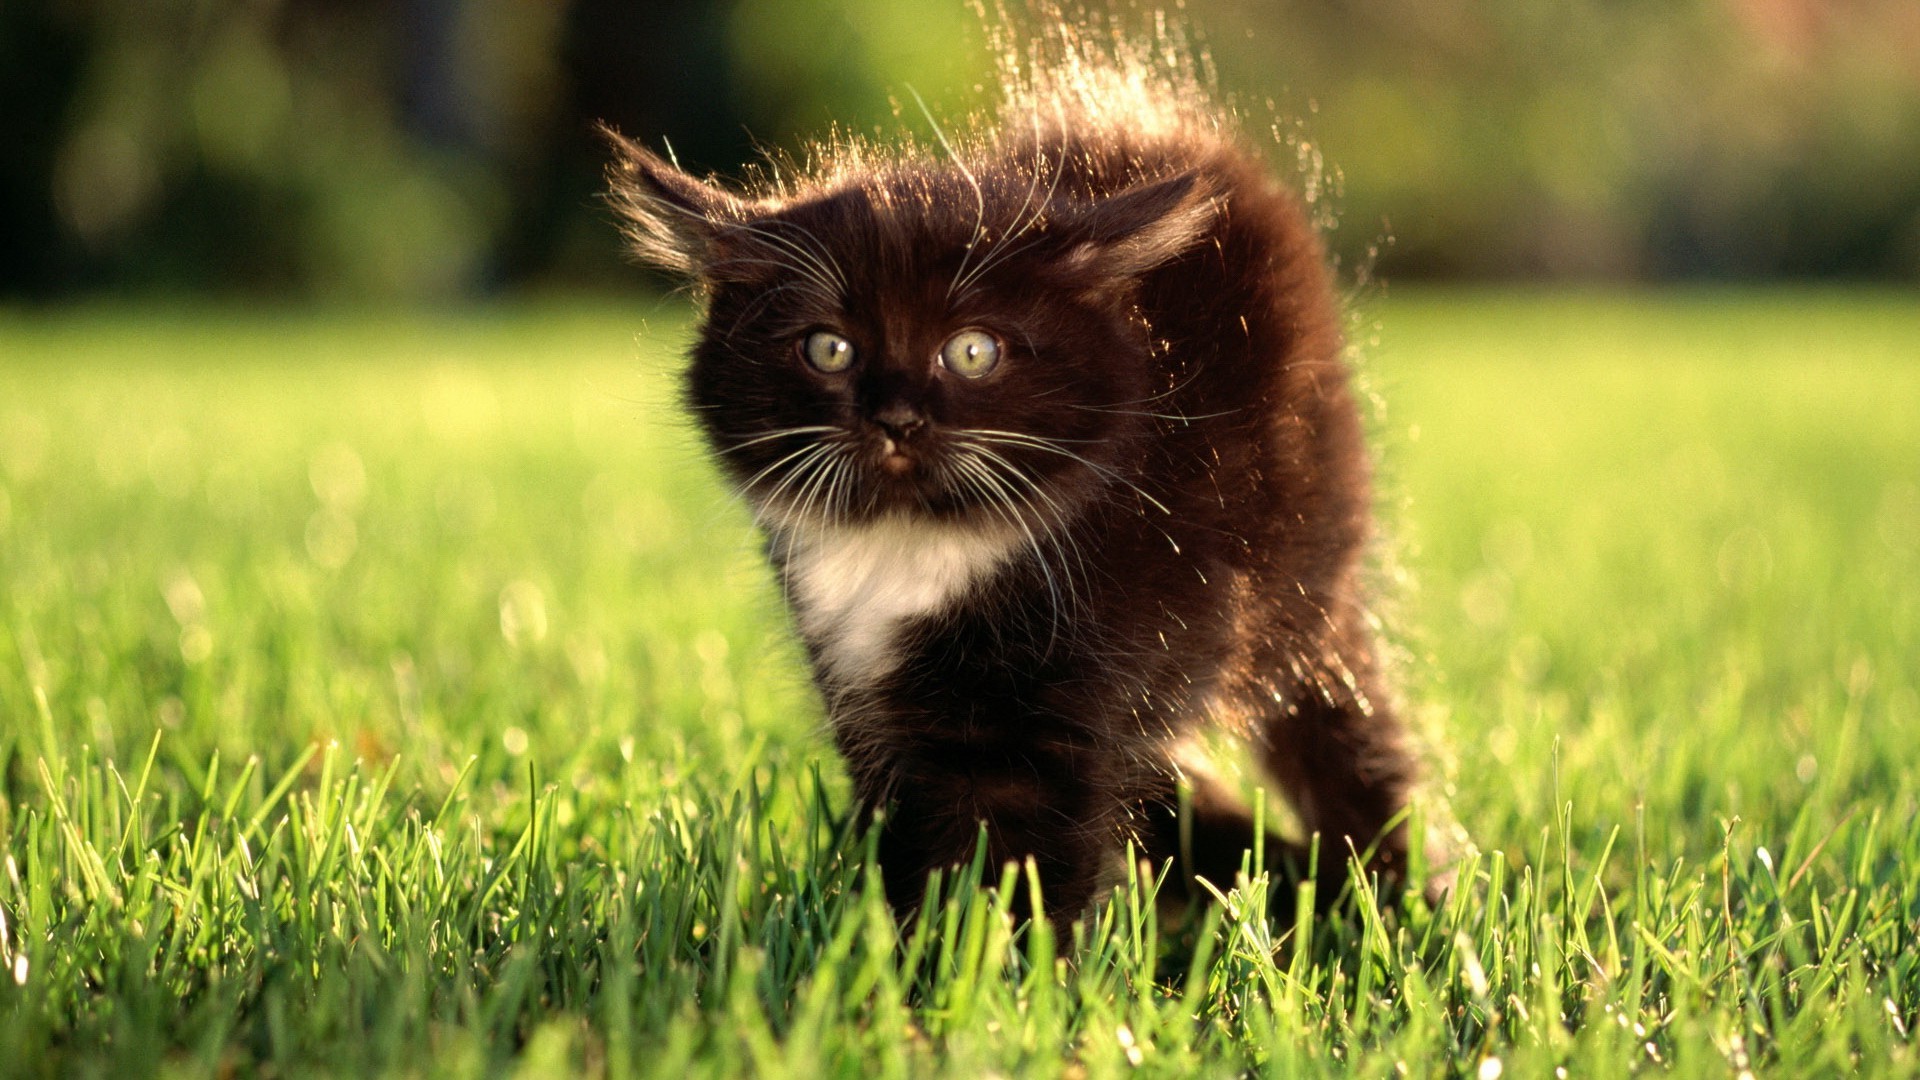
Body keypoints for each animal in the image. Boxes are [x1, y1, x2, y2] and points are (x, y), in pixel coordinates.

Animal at [610, 29, 1428, 930]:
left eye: (973, 351)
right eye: (828, 348)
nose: (897, 417)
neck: (918, 551)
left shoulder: (1066, 689)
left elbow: (1019, 854)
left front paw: (976, 960)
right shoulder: (859, 685)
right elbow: (907, 822)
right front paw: (883, 934)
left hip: (1308, 580)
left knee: (1346, 732)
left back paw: (1390, 889)